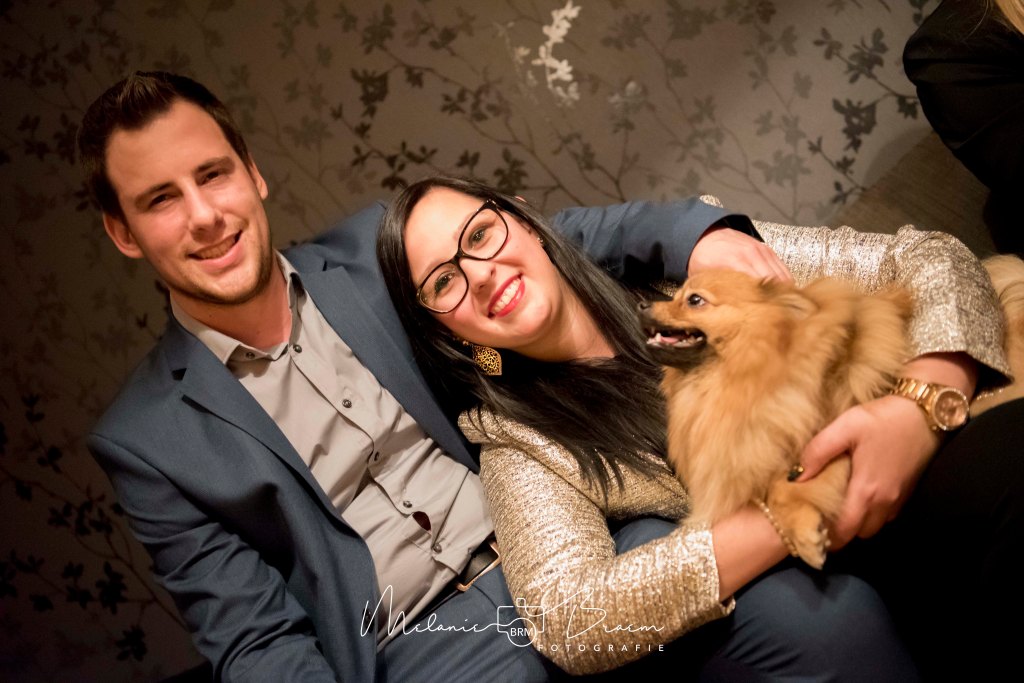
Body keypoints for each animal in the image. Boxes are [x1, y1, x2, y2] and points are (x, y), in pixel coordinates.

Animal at [640, 258, 1024, 568]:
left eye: (694, 300)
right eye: (676, 295)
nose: (643, 304)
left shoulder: (831, 425)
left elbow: (794, 480)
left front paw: (804, 531)